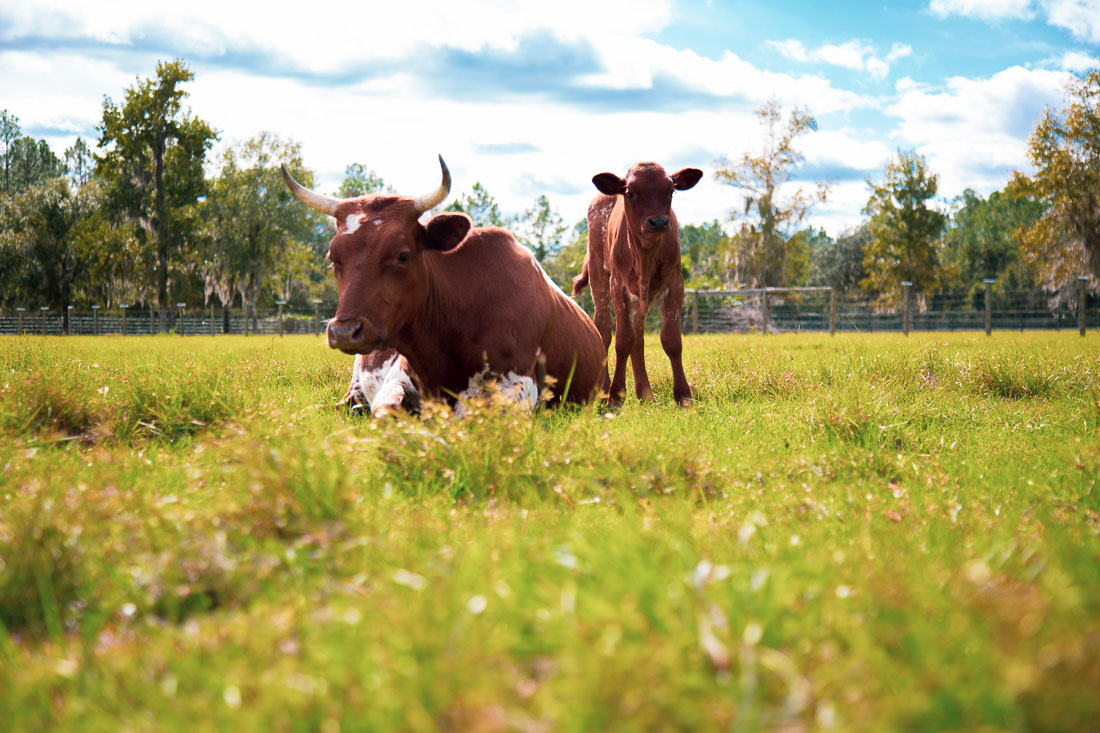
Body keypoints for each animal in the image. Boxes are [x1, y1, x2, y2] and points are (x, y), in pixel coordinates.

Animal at [281, 156, 611, 413]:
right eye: (332, 258)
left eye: (403, 255)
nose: (344, 331)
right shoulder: (397, 378)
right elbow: (385, 410)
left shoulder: (518, 385)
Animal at [572, 159, 699, 405]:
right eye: (630, 193)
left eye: (671, 191)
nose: (658, 222)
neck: (645, 255)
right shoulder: (618, 285)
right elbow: (623, 339)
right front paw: (615, 396)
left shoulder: (675, 283)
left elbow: (671, 340)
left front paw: (683, 395)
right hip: (598, 273)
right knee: (604, 329)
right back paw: (604, 390)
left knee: (638, 337)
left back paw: (645, 392)